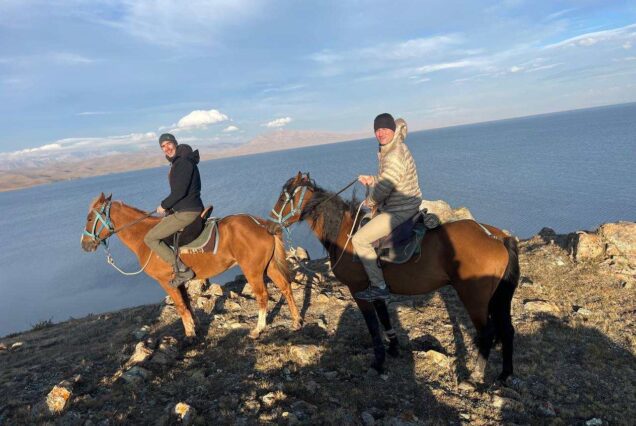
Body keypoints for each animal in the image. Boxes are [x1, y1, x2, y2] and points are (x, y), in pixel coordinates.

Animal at [80, 194, 302, 342]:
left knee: (263, 296)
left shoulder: (166, 282)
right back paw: (296, 321)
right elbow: (187, 304)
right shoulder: (180, 281)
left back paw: (258, 329)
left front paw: (189, 335)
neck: (143, 237)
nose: (84, 244)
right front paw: (197, 328)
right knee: (285, 287)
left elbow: (180, 307)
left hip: (253, 270)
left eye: (90, 219)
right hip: (269, 266)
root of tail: (261, 223)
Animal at [270, 171, 520, 382]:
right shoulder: (376, 288)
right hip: (498, 297)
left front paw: (378, 362)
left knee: (487, 333)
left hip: (474, 298)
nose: (271, 226)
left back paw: (475, 376)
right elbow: (384, 318)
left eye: (284, 197)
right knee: (507, 330)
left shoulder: (358, 290)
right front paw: (393, 348)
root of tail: (495, 237)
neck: (346, 233)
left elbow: (373, 325)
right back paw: (505, 374)